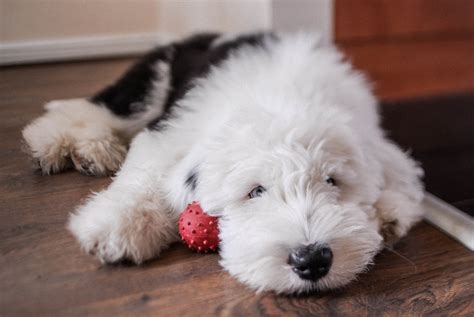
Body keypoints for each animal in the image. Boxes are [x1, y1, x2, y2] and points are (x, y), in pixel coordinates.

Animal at [21, 32, 426, 292]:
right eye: (255, 191)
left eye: (332, 182)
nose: (311, 260)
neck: (283, 97)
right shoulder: (172, 131)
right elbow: (146, 173)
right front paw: (117, 226)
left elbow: (400, 176)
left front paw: (388, 214)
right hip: (153, 82)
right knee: (96, 109)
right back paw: (71, 144)